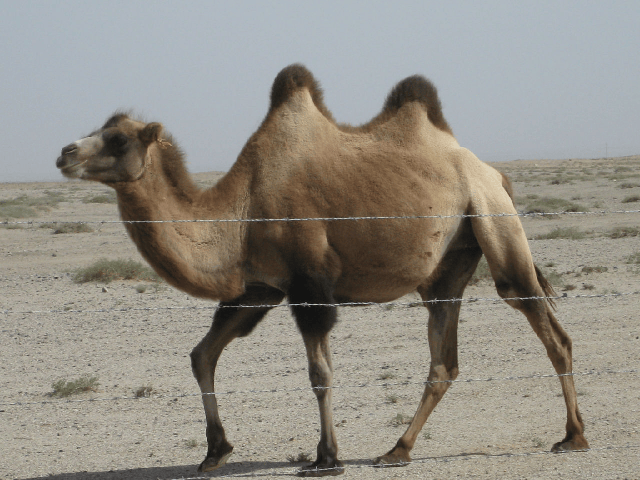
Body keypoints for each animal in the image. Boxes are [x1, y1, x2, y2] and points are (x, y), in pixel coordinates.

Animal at [56, 64, 588, 476]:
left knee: (542, 322)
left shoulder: (309, 283)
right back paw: (396, 450)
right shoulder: (258, 289)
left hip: (494, 218)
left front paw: (327, 458)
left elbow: (319, 372)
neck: (240, 211)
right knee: (444, 359)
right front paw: (215, 451)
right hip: (448, 264)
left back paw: (574, 436)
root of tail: (495, 172)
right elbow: (201, 355)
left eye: (117, 138)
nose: (64, 152)